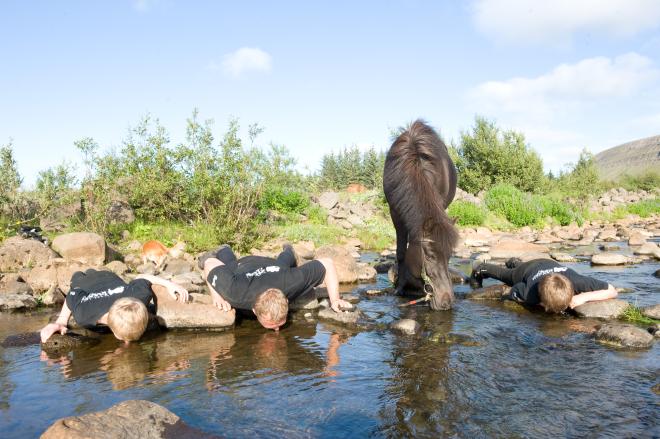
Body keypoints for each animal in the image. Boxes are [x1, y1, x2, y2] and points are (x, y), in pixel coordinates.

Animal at [382, 120, 458, 312]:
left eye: (450, 255)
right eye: (430, 256)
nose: (446, 301)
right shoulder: (395, 213)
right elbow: (401, 251)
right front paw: (401, 286)